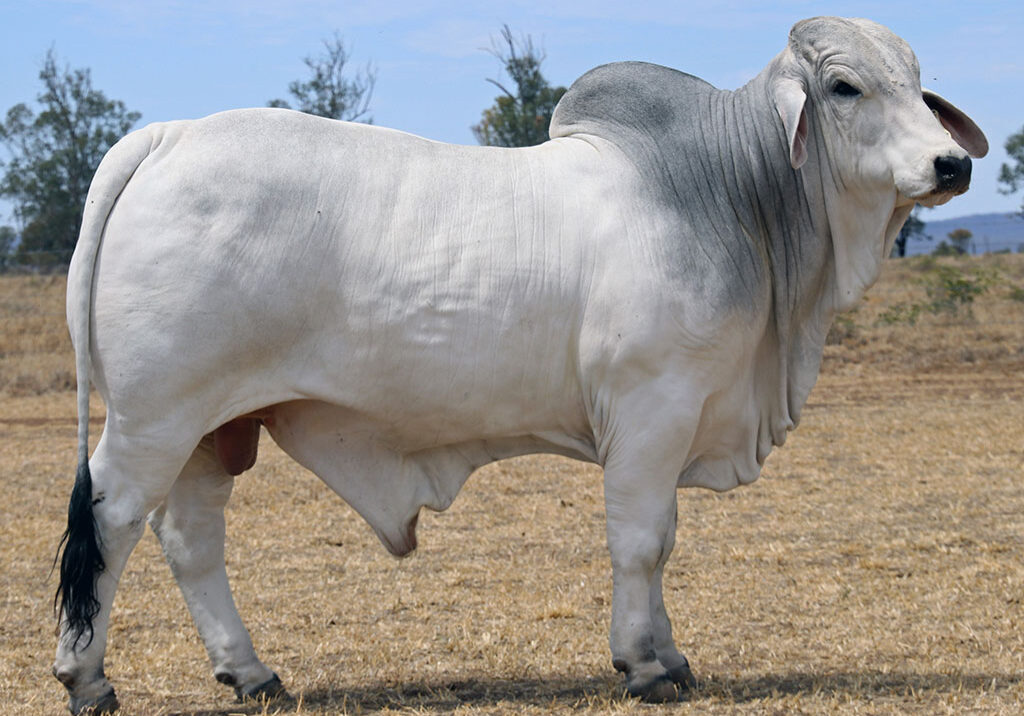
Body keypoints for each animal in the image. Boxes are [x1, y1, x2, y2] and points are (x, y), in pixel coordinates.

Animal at [53, 16, 986, 713]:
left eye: (917, 81)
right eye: (845, 87)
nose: (952, 163)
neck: (729, 193)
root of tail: (165, 136)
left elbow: (663, 542)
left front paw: (670, 655)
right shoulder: (653, 409)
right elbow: (643, 540)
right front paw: (644, 666)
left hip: (215, 428)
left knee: (189, 537)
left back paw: (250, 672)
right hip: (154, 417)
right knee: (111, 519)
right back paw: (86, 678)